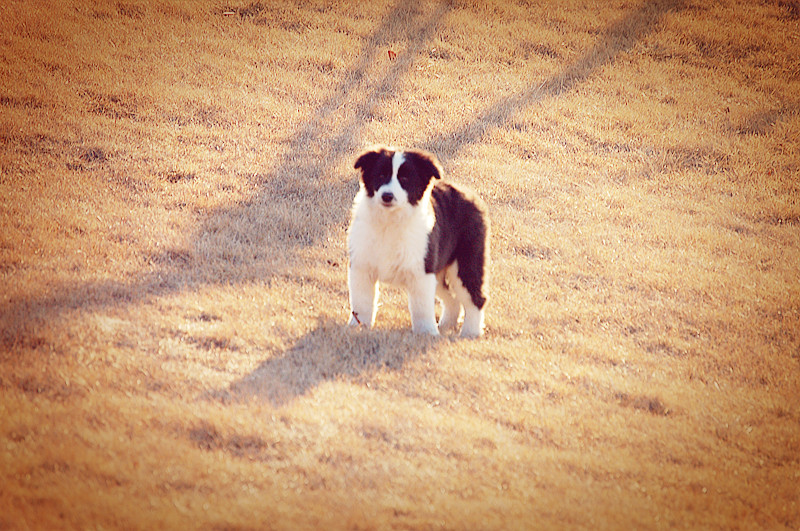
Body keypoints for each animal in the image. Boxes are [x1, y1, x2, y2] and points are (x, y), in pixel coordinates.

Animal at [348, 144, 488, 336]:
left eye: (405, 178)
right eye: (381, 175)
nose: (387, 196)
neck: (390, 221)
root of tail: (470, 194)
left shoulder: (421, 271)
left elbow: (421, 308)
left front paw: (427, 333)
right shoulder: (362, 266)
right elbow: (361, 302)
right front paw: (357, 328)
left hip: (466, 262)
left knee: (476, 297)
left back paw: (470, 333)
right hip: (439, 268)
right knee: (452, 298)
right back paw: (446, 325)